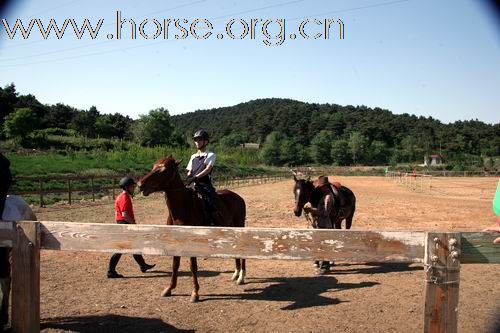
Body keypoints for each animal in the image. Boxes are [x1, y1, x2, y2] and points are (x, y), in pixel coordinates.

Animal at [138, 155, 247, 300]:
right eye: (153, 166)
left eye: (164, 170)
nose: (140, 185)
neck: (183, 207)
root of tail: (238, 198)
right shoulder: (176, 240)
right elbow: (175, 265)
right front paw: (169, 288)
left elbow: (193, 266)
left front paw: (195, 292)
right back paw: (236, 274)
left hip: (239, 226)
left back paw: (241, 277)